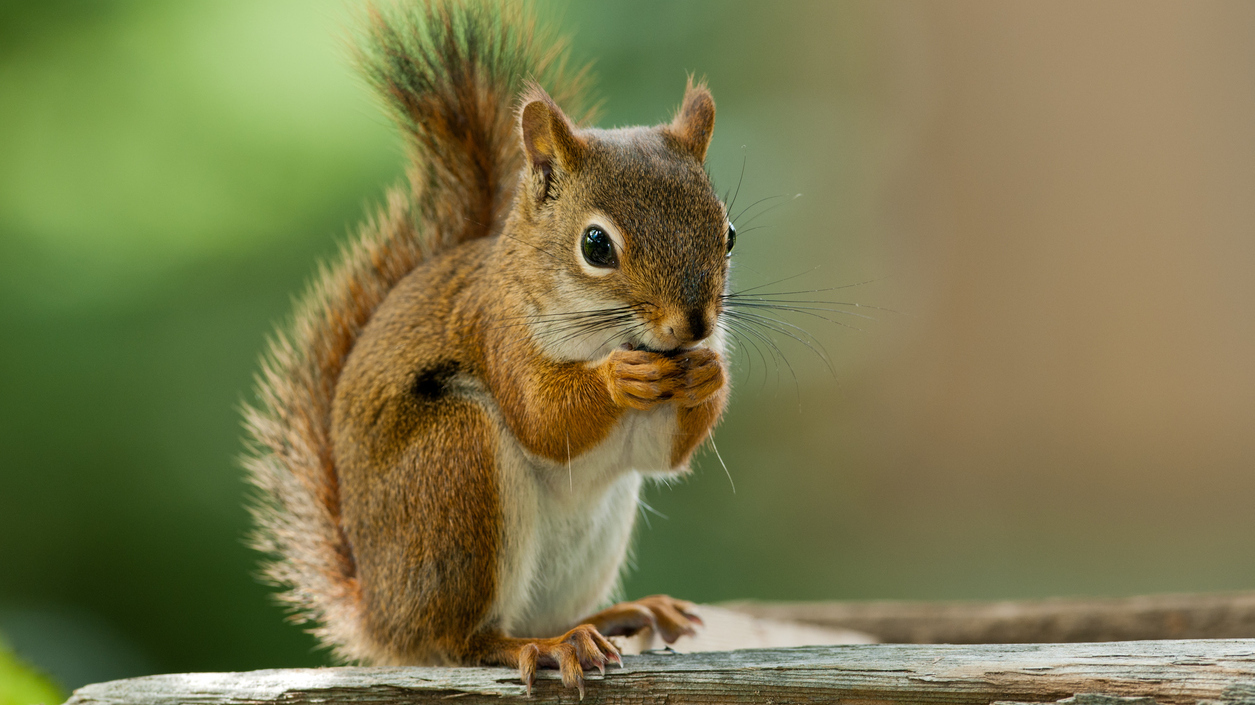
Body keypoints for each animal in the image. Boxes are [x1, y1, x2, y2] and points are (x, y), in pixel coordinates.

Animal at [244, 0, 734, 695]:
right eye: (596, 245)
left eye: (729, 233)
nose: (693, 326)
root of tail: (382, 619)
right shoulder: (496, 331)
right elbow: (543, 416)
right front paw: (618, 379)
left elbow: (663, 452)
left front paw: (709, 376)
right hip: (456, 467)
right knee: (465, 640)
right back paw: (544, 646)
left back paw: (615, 617)